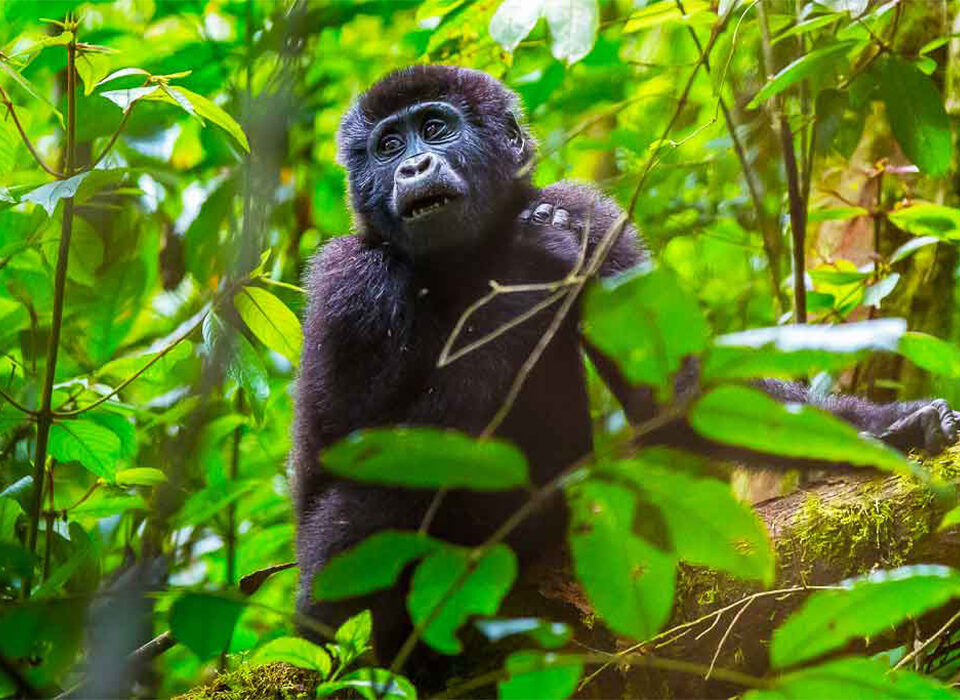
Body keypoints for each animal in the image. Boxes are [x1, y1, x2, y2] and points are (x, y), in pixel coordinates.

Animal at [290, 65, 958, 668]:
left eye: (434, 128)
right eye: (388, 146)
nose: (412, 167)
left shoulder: (589, 213)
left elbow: (675, 396)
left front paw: (894, 426)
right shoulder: (350, 279)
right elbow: (358, 444)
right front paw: (531, 266)